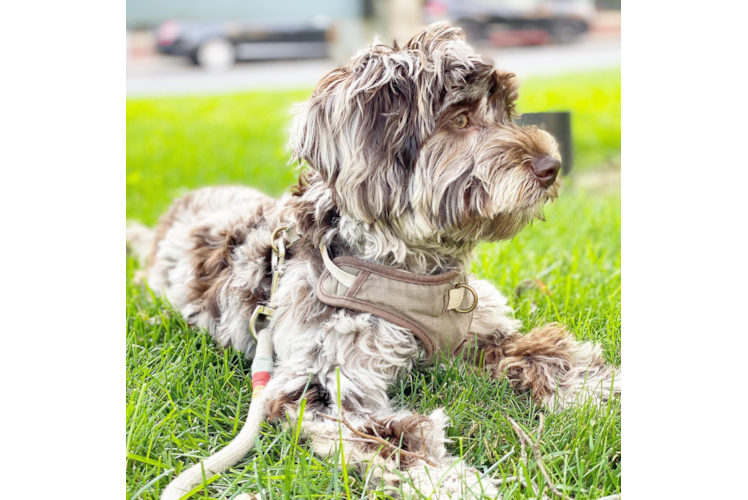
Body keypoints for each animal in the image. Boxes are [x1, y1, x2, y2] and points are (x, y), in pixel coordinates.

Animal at [125, 24, 624, 500]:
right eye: (460, 118)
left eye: (506, 112)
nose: (551, 166)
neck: (414, 265)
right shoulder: (319, 386)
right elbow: (388, 439)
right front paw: (447, 481)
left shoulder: (483, 332)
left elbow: (548, 353)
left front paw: (602, 387)